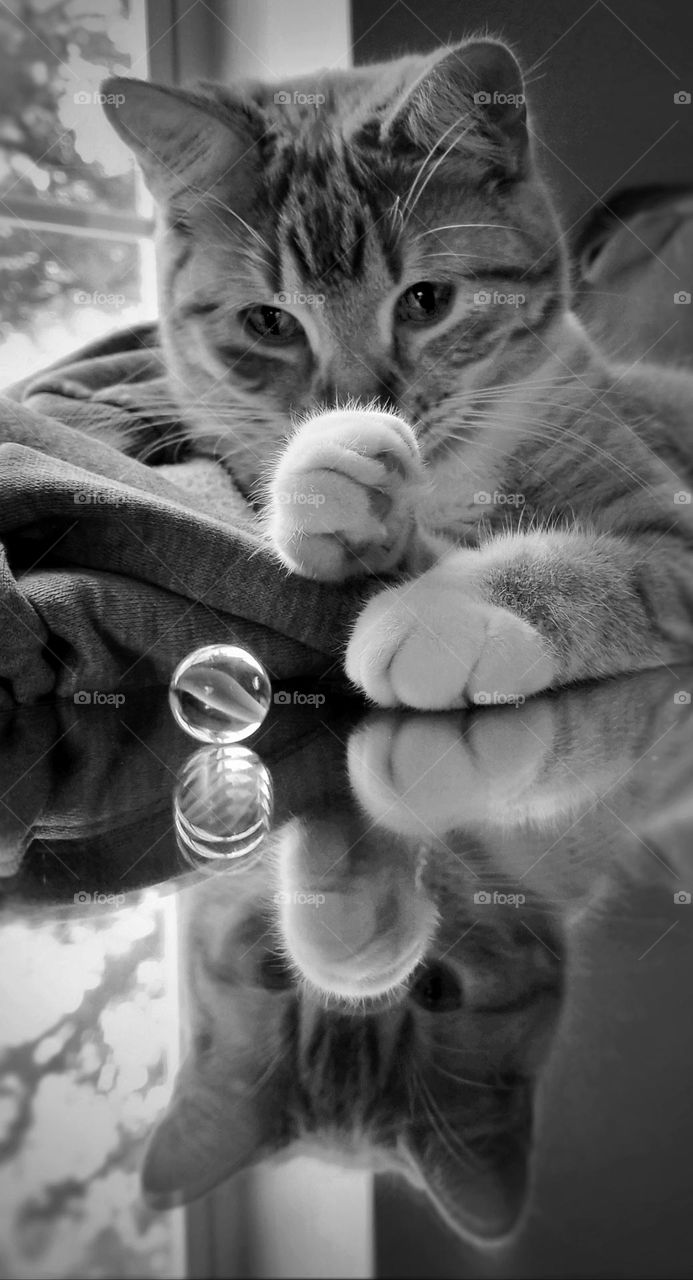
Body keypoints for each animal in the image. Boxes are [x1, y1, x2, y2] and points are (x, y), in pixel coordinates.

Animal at [101, 35, 691, 711]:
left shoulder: (672, 531)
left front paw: (447, 612)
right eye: (268, 322)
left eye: (426, 300)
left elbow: (595, 564)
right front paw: (342, 483)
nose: (357, 402)